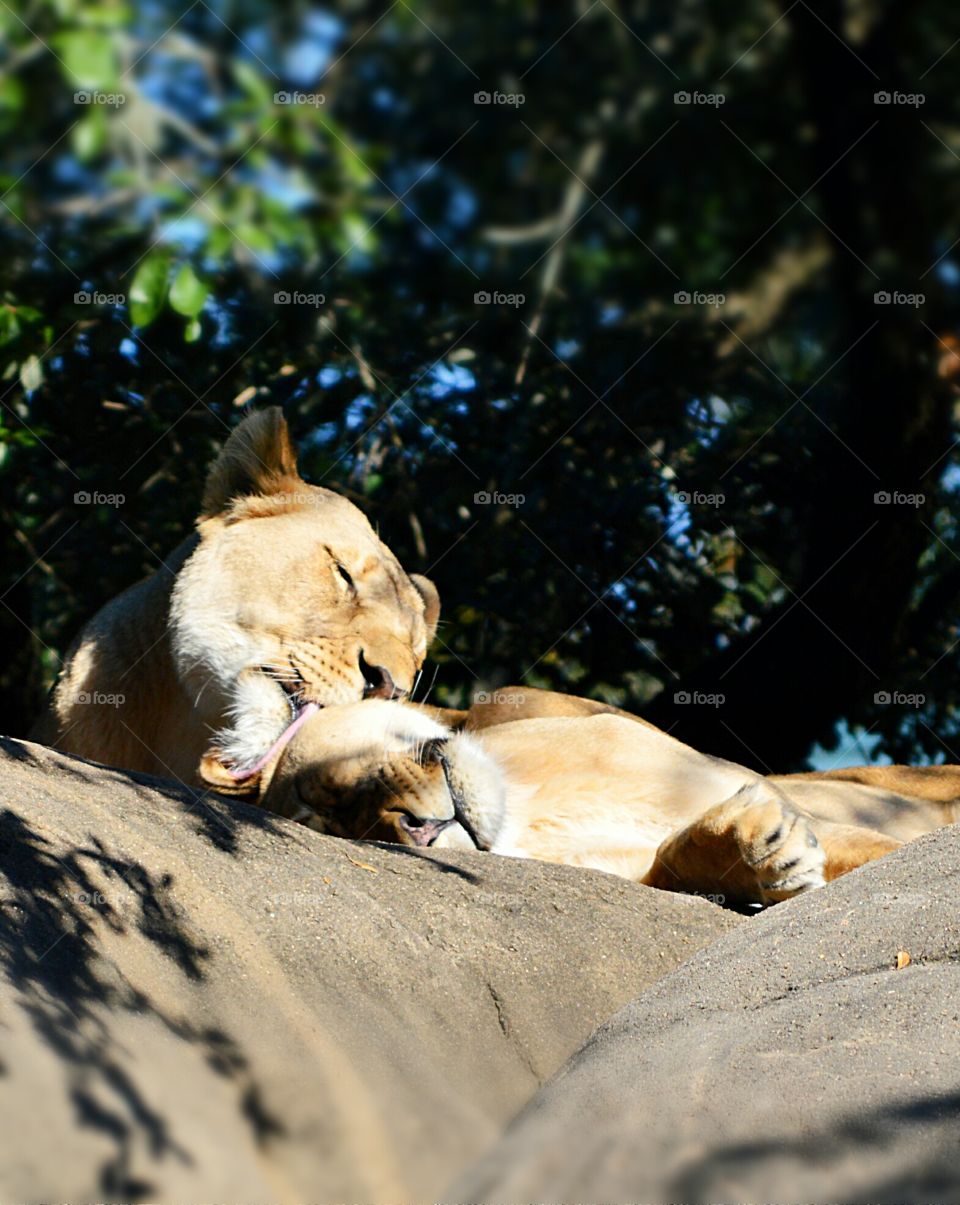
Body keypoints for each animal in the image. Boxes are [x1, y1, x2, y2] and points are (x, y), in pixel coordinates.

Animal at [200, 688, 958, 907]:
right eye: (345, 831)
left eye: (335, 787)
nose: (415, 831)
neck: (533, 811)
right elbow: (677, 862)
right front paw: (759, 851)